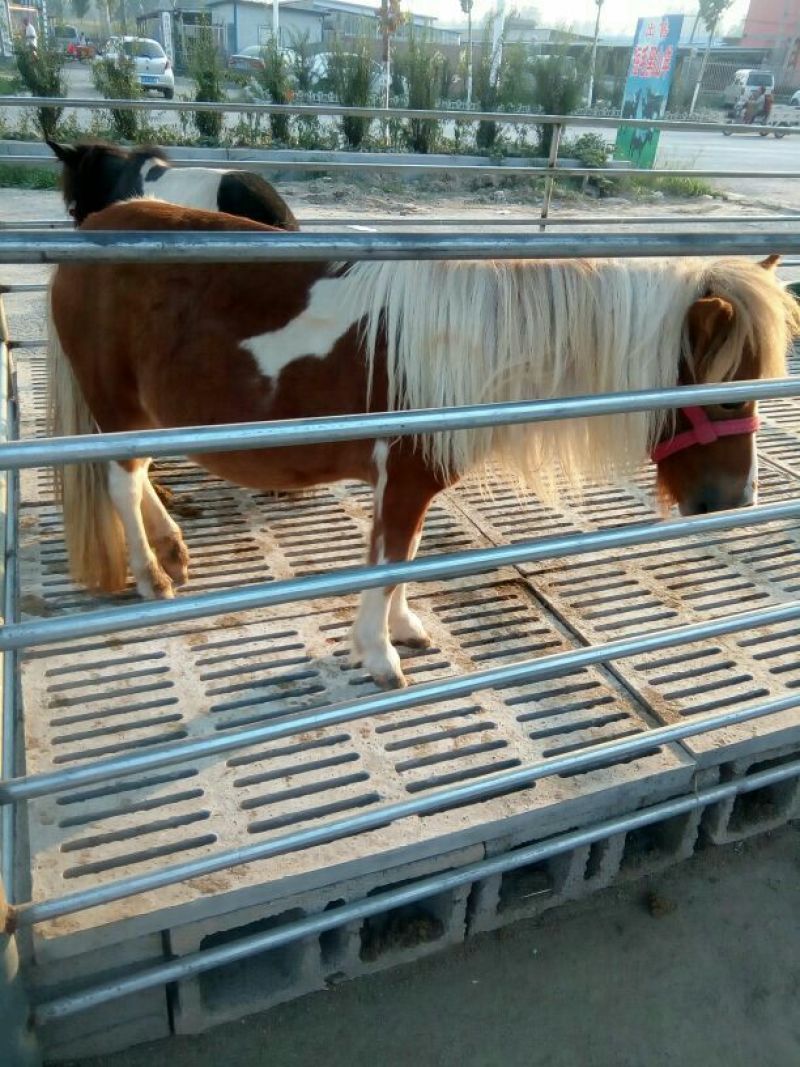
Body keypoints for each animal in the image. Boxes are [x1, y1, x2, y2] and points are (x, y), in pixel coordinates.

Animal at [47, 199, 800, 689]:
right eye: (728, 395)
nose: (736, 500)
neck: (473, 344)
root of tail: (93, 230)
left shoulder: (409, 486)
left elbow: (401, 560)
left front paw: (403, 628)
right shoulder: (403, 480)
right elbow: (385, 564)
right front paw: (379, 656)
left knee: (138, 475)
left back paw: (172, 548)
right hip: (119, 408)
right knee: (123, 478)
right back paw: (154, 574)